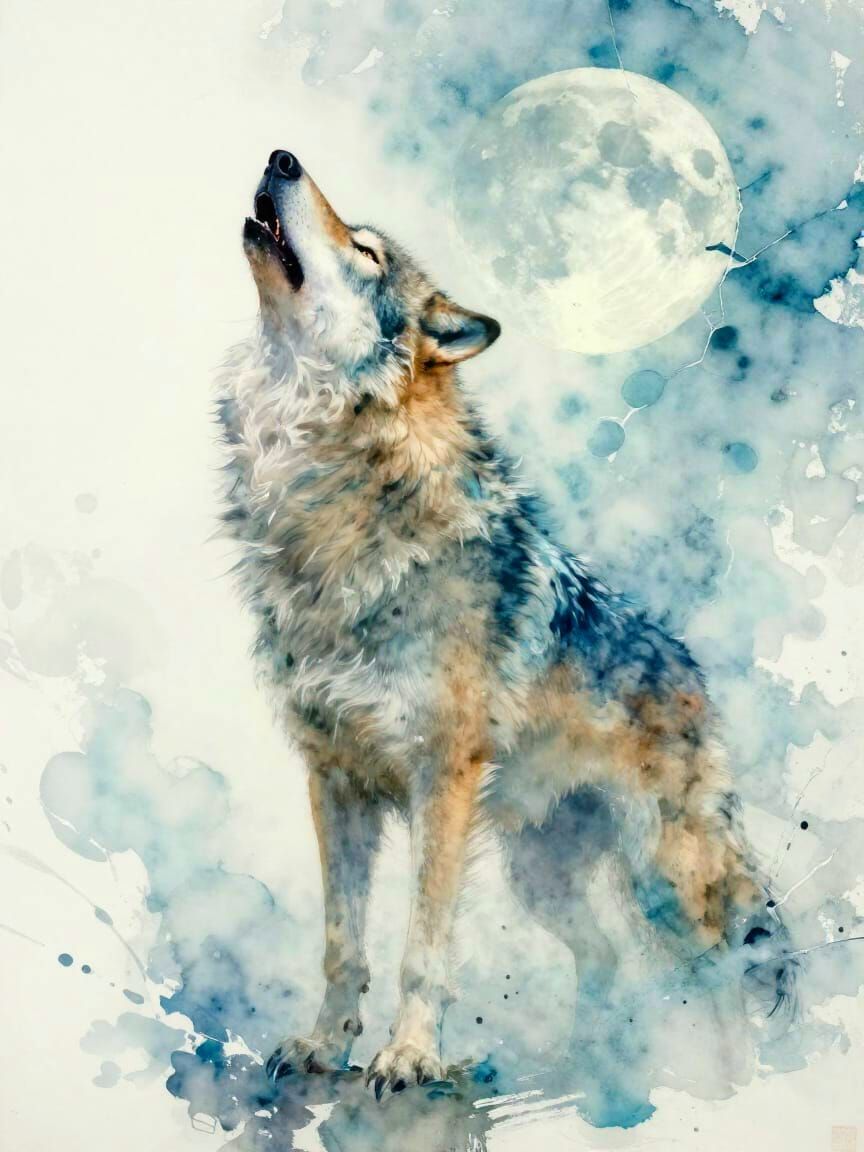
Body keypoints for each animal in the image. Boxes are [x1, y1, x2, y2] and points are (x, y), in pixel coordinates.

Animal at [216, 149, 795, 1099]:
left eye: (367, 252)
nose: (281, 158)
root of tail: (687, 665)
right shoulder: (334, 779)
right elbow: (343, 945)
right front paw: (324, 1046)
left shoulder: (440, 780)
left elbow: (422, 948)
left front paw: (409, 1056)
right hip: (543, 874)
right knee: (606, 959)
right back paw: (583, 1063)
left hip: (665, 873)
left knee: (723, 976)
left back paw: (734, 1088)